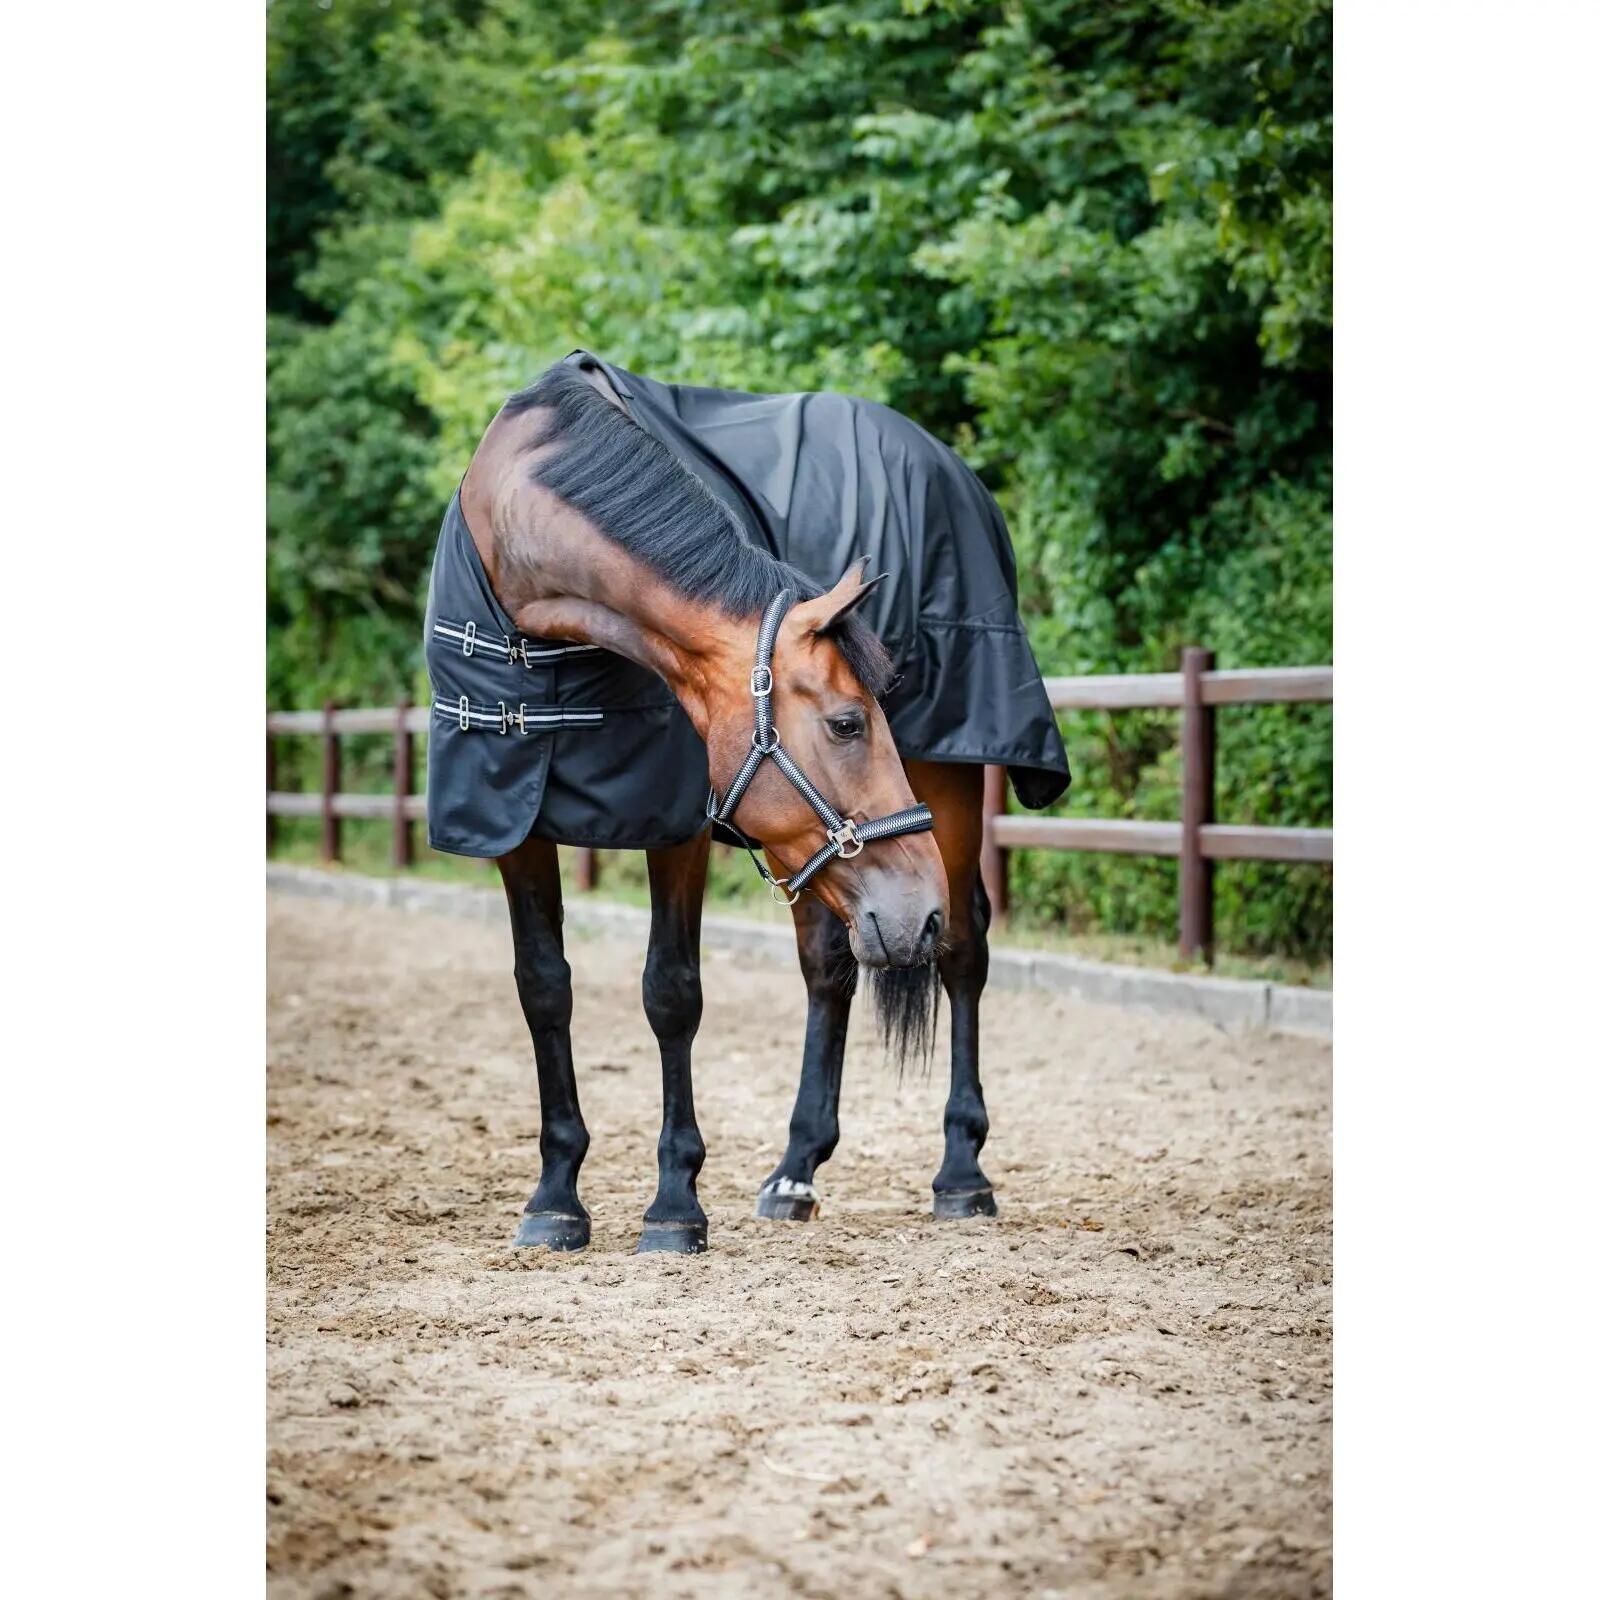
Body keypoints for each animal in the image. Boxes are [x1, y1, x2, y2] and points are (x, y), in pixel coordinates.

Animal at [433, 361, 951, 1255]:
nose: (917, 911)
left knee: (968, 955)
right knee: (830, 966)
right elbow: (543, 987)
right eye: (848, 723)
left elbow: (671, 992)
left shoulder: (673, 823)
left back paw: (964, 1176)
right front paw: (555, 1196)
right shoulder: (510, 817)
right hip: (815, 870)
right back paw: (794, 1175)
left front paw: (674, 1205)